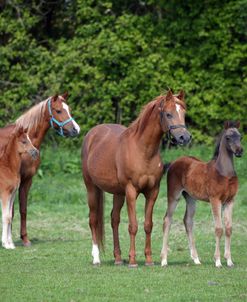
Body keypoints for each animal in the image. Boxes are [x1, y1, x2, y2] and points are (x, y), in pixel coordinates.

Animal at [160, 120, 243, 266]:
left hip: (191, 198)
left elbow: (228, 228)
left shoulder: (230, 201)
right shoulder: (215, 200)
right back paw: (164, 260)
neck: (224, 173)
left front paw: (229, 261)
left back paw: (196, 258)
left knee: (188, 221)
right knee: (167, 220)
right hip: (174, 196)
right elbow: (218, 228)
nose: (239, 151)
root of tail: (174, 162)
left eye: (240, 137)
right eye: (228, 137)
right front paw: (218, 261)